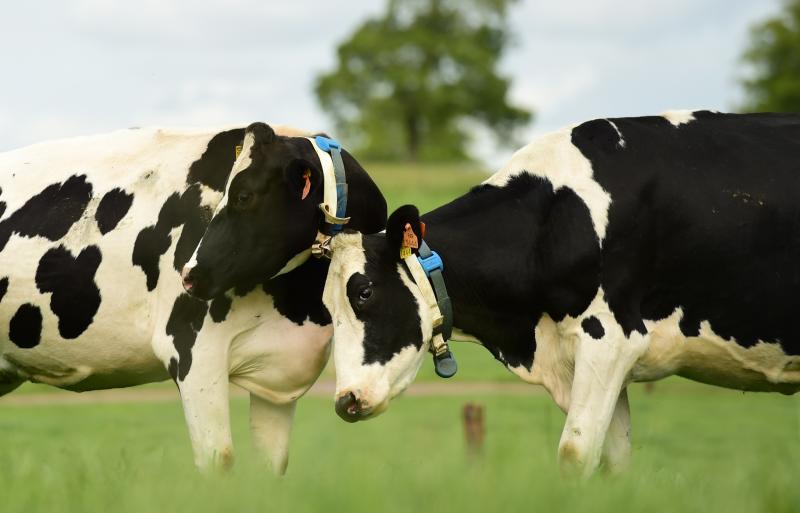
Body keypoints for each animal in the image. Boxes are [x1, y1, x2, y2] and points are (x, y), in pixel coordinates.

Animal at [0, 123, 387, 474]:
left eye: (243, 195)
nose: (189, 274)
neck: (299, 305)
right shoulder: (193, 353)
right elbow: (219, 460)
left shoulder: (279, 372)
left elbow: (270, 466)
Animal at [321, 110, 800, 478]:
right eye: (327, 306)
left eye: (364, 292)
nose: (345, 400)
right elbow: (613, 461)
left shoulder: (610, 339)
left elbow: (575, 453)